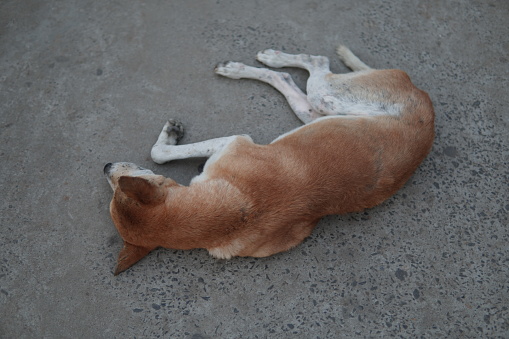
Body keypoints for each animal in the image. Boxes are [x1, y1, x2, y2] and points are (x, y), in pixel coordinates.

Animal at [103, 45, 432, 274]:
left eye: (120, 183)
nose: (106, 166)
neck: (231, 215)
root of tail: (426, 104)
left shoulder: (234, 142)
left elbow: (159, 153)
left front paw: (170, 136)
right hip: (317, 112)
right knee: (287, 77)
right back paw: (253, 66)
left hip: (327, 95)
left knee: (318, 62)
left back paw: (261, 61)